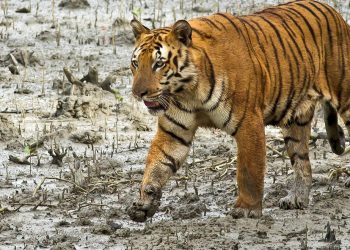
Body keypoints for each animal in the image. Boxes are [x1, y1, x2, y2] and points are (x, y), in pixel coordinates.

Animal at [127, 0, 350, 223]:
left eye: (159, 64)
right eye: (136, 63)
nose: (137, 93)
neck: (189, 91)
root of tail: (332, 11)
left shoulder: (248, 123)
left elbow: (248, 170)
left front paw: (246, 209)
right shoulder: (174, 132)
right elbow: (157, 163)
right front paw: (143, 203)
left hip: (345, 98)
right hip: (295, 120)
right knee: (302, 161)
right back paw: (296, 199)